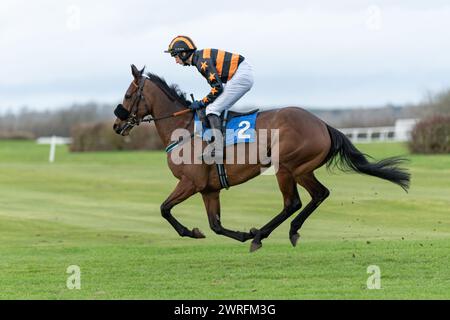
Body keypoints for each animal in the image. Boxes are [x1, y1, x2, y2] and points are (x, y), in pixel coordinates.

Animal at [112, 65, 412, 252]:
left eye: (128, 95)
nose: (117, 125)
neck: (184, 129)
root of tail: (322, 124)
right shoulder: (209, 189)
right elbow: (216, 225)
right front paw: (234, 234)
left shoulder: (190, 183)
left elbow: (164, 209)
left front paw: (194, 232)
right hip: (303, 169)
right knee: (319, 194)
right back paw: (287, 231)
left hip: (287, 167)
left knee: (293, 202)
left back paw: (261, 236)